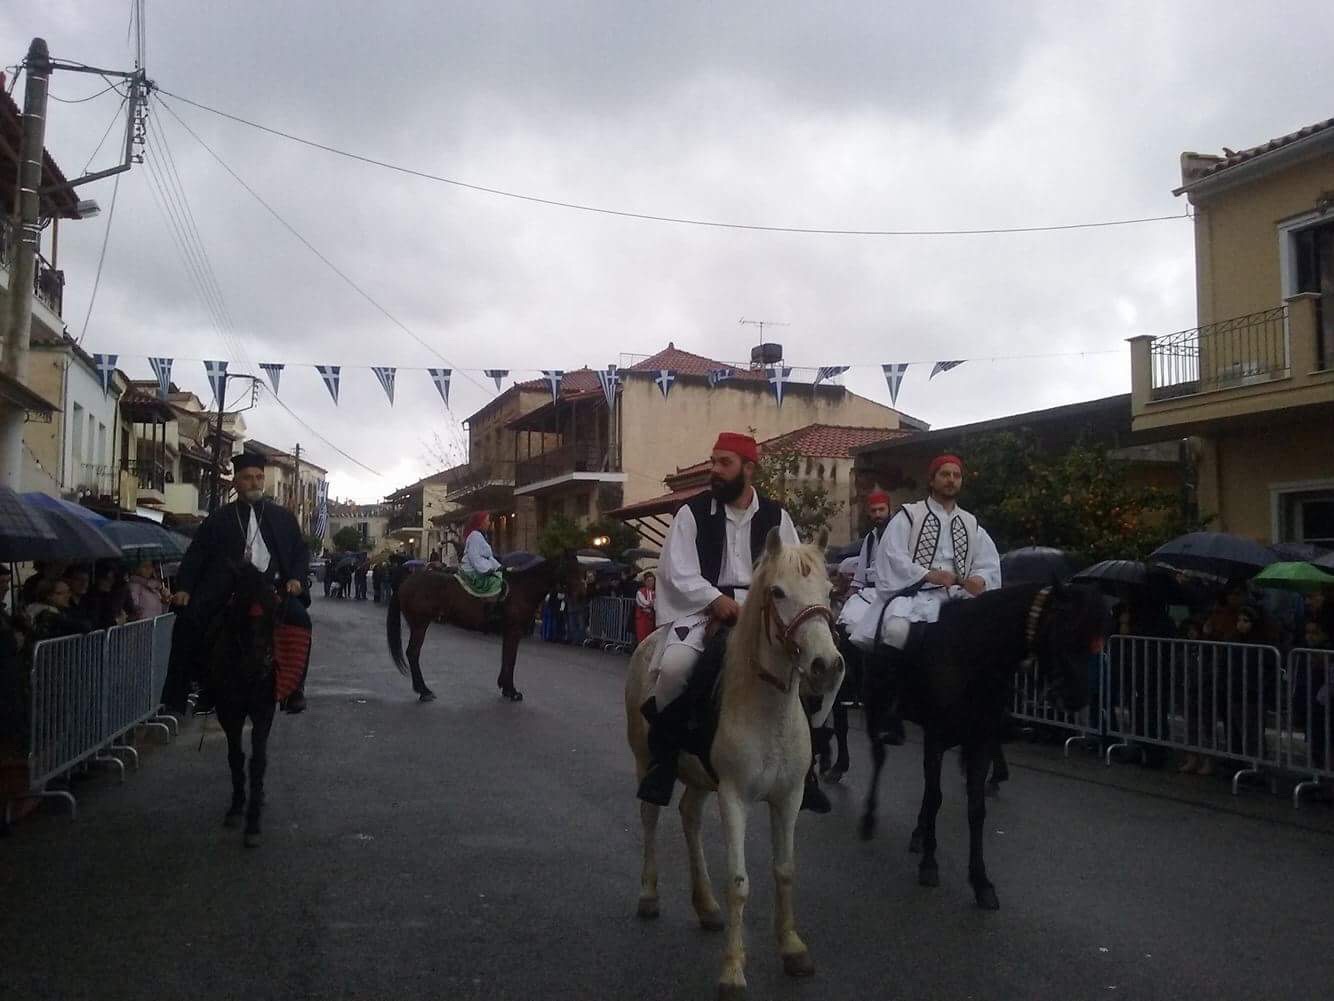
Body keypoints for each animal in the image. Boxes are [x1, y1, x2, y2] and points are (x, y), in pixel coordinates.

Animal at [207, 562, 284, 848]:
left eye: (275, 605)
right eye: (238, 605)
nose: (259, 664)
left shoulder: (263, 711)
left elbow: (257, 761)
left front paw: (253, 822)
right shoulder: (229, 711)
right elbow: (235, 755)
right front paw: (237, 806)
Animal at [386, 554, 581, 702]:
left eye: (579, 568)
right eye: (569, 568)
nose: (580, 592)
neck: (522, 589)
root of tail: (407, 580)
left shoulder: (508, 631)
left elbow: (506, 657)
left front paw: (505, 687)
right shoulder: (514, 630)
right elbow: (511, 659)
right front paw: (512, 691)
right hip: (420, 625)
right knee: (413, 653)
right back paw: (424, 690)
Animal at [625, 530, 844, 1001]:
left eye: (829, 591)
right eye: (777, 592)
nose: (826, 665)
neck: (765, 709)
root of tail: (647, 643)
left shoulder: (788, 798)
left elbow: (784, 871)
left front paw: (792, 949)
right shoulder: (734, 798)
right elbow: (740, 882)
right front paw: (732, 970)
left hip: (700, 778)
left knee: (689, 815)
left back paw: (706, 906)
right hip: (645, 758)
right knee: (650, 816)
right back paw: (649, 894)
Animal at [859, 581, 1106, 910]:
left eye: (1094, 639)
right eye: (1064, 629)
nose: (1077, 697)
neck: (971, 653)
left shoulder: (981, 740)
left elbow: (975, 809)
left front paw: (980, 881)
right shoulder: (936, 736)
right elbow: (935, 797)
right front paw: (930, 864)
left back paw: (919, 833)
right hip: (875, 707)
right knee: (879, 756)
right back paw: (869, 819)